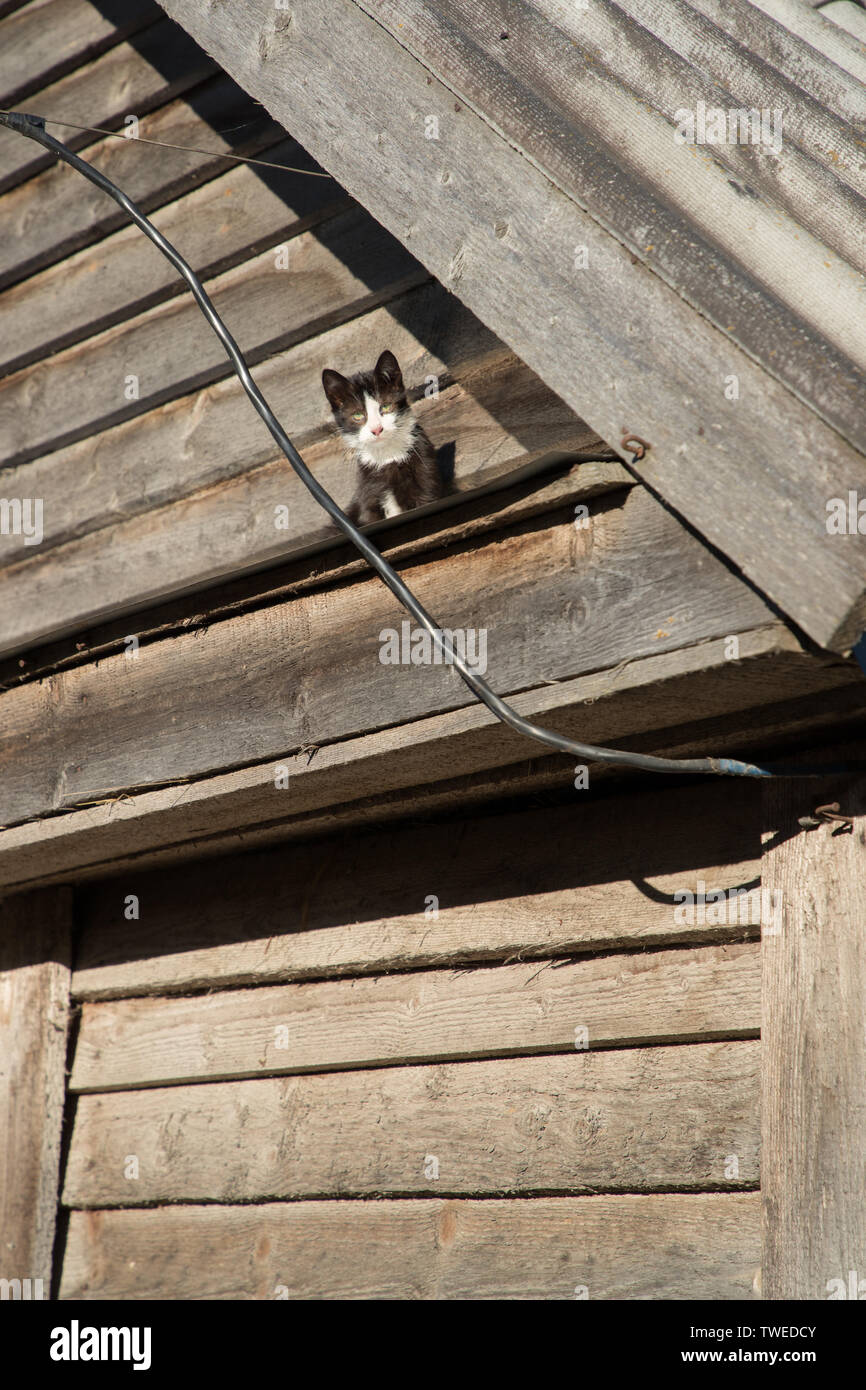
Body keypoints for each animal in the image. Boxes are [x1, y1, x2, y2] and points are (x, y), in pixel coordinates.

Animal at [322, 350, 444, 522]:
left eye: (385, 406)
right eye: (358, 415)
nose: (377, 429)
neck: (387, 456)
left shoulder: (426, 478)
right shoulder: (368, 496)